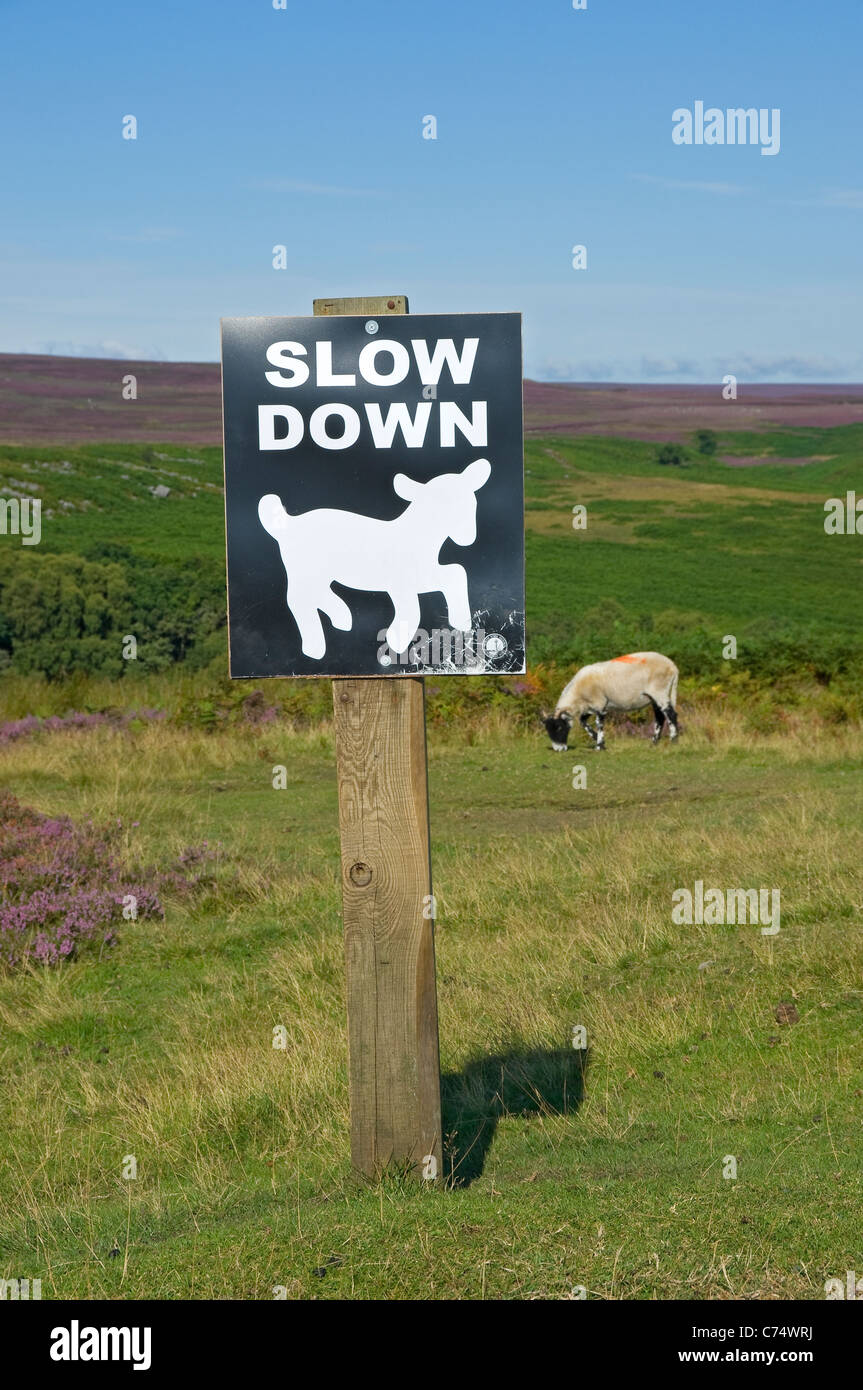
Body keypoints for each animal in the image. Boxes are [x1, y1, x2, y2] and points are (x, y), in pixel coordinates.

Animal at [255, 450, 489, 656]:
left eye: (472, 503)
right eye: (439, 507)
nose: (468, 538)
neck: (417, 536)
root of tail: (288, 524)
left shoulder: (423, 575)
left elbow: (456, 572)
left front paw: (462, 622)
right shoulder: (401, 583)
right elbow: (412, 609)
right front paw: (396, 641)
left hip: (320, 572)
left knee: (316, 594)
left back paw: (342, 617)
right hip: (304, 569)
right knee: (298, 600)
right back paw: (315, 648)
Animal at [541, 650, 675, 750]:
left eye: (559, 727)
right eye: (547, 729)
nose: (558, 749)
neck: (578, 695)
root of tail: (673, 666)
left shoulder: (599, 704)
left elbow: (599, 723)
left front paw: (599, 746)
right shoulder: (590, 707)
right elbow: (582, 722)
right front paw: (597, 738)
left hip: (660, 691)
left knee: (670, 714)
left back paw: (673, 740)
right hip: (654, 697)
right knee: (660, 717)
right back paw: (654, 743)